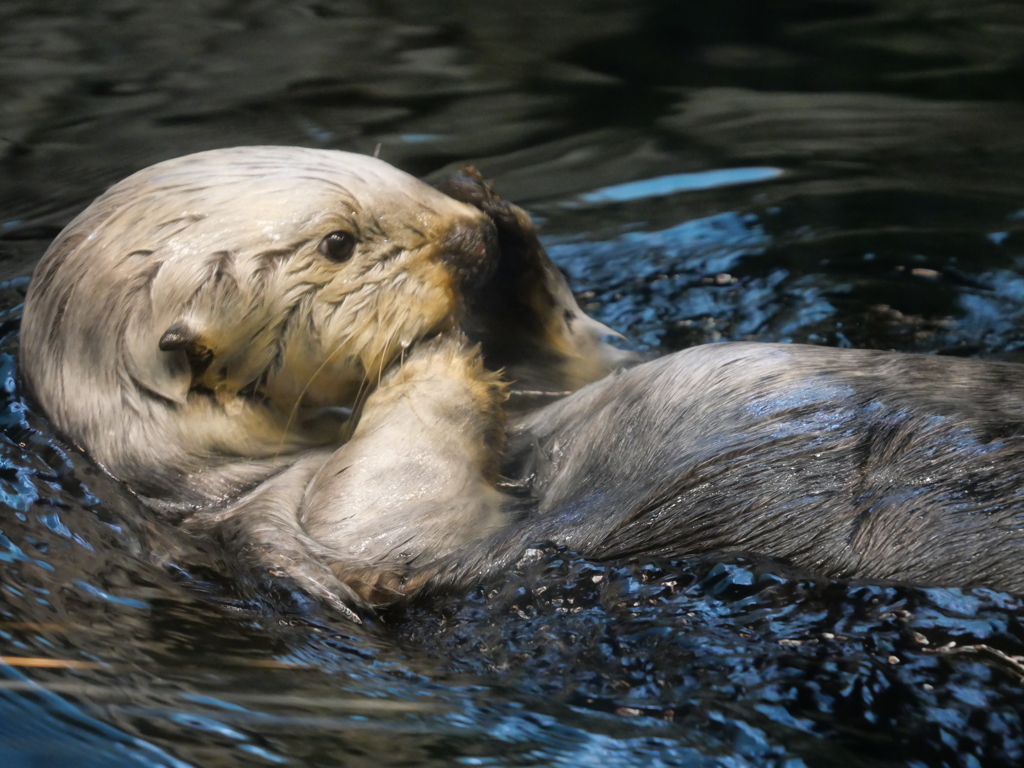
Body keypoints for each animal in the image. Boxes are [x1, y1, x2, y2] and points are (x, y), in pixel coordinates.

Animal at [19, 147, 1024, 622]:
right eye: (339, 244)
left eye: (392, 173)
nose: (463, 235)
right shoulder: (275, 531)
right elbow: (385, 507)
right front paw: (433, 347)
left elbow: (582, 360)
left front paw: (495, 218)